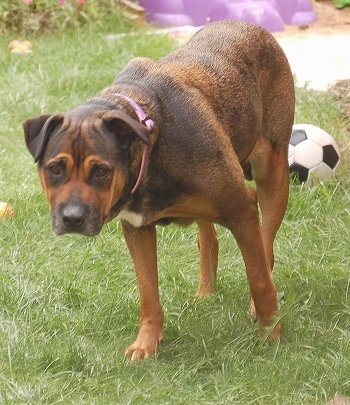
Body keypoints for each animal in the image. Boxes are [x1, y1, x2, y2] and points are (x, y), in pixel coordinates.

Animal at [22, 19, 296, 360]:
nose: (72, 218)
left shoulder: (241, 208)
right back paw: (206, 290)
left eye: (101, 171)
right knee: (208, 238)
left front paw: (271, 332)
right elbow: (148, 292)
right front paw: (147, 342)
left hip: (273, 171)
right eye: (55, 168)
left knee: (265, 242)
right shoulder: (136, 228)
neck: (148, 140)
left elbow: (258, 278)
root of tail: (249, 25)